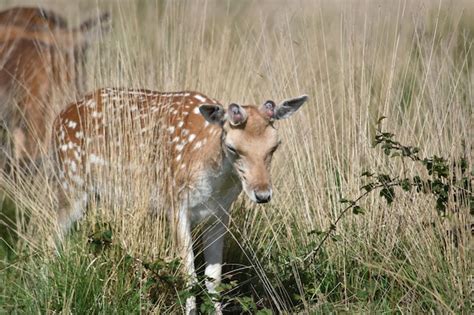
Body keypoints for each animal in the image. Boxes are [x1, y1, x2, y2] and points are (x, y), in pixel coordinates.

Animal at [51, 87, 308, 314]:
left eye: (275, 145)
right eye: (233, 147)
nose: (263, 194)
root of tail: (58, 118)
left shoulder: (220, 214)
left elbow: (214, 278)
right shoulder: (175, 205)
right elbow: (189, 276)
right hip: (70, 182)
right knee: (54, 234)